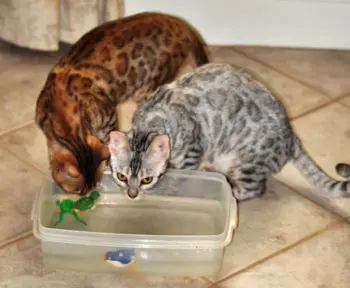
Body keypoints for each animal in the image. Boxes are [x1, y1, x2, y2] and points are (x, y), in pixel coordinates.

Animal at [108, 61, 348, 200]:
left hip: (245, 162)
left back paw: (231, 191)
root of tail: (292, 136)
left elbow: (183, 176)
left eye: (147, 179)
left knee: (254, 189)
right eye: (121, 176)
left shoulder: (191, 152)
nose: (131, 194)